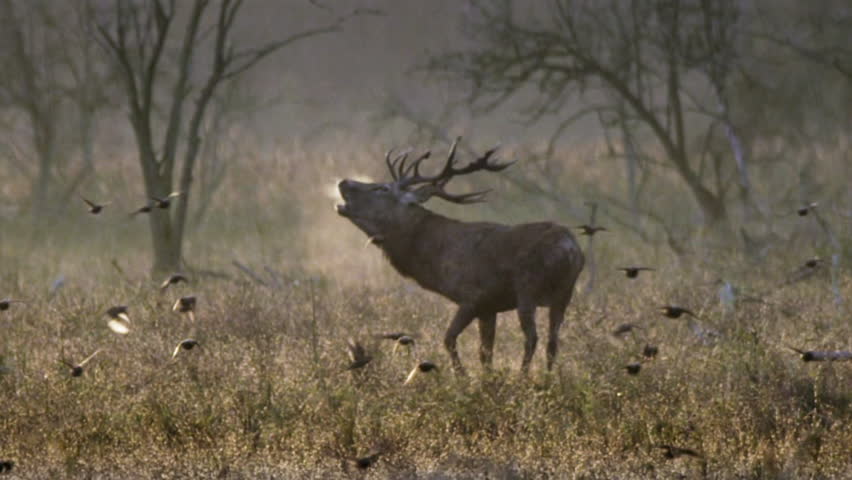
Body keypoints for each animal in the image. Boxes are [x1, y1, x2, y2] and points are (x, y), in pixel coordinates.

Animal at [336, 138, 584, 375]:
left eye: (383, 188)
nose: (343, 182)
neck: (436, 259)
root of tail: (570, 249)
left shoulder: (472, 297)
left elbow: (449, 340)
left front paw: (462, 377)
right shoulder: (489, 308)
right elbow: (485, 353)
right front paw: (488, 381)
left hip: (528, 289)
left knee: (532, 337)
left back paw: (523, 378)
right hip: (564, 294)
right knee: (553, 342)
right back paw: (548, 379)